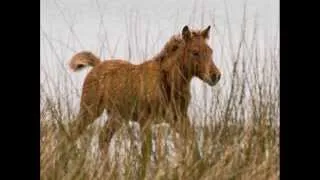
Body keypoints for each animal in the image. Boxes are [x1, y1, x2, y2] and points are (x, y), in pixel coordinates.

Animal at [69, 25, 221, 156]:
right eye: (195, 52)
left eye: (211, 51)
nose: (216, 76)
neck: (170, 85)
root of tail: (97, 65)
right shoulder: (145, 120)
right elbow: (146, 153)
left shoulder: (179, 118)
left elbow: (193, 144)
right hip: (90, 110)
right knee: (74, 132)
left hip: (116, 116)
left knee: (103, 138)